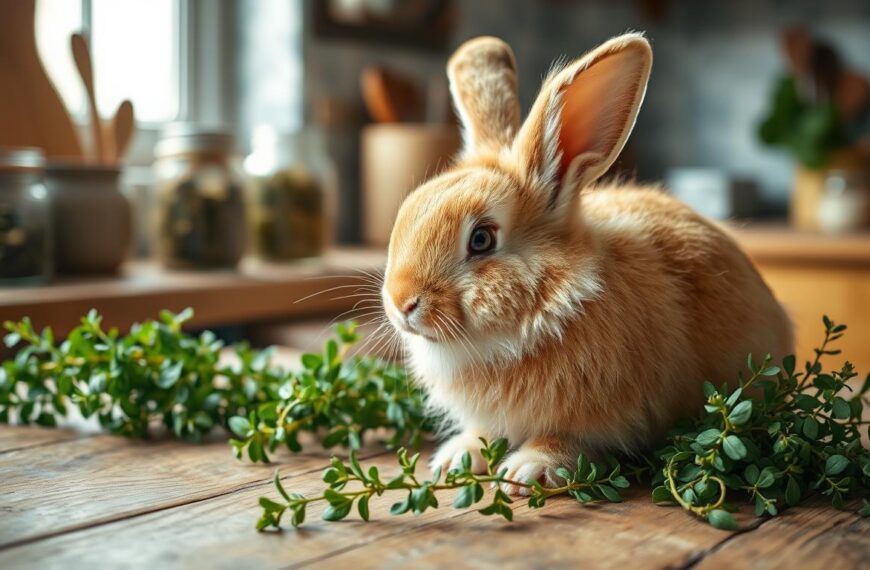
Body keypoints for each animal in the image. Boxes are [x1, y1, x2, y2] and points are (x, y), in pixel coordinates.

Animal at [380, 33, 794, 495]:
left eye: (482, 239)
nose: (401, 303)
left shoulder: (603, 419)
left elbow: (567, 441)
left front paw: (526, 470)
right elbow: (483, 432)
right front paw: (456, 458)